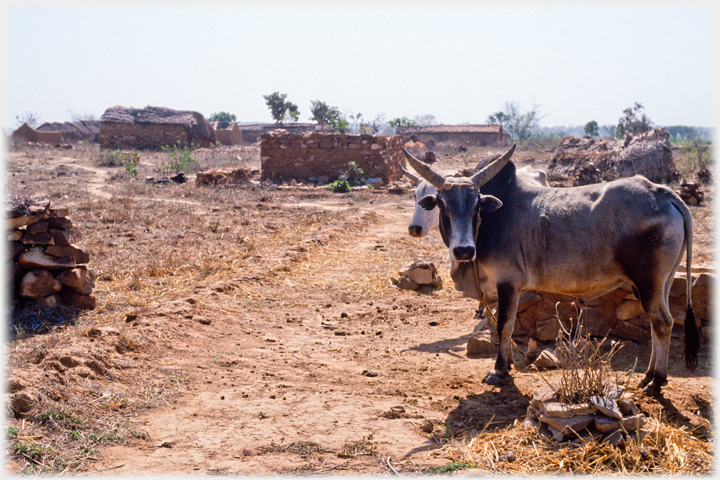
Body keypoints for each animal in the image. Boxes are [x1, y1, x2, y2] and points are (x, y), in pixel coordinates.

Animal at [402, 144, 700, 396]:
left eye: (476, 205)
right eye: (442, 204)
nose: (463, 250)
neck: (489, 222)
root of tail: (661, 192)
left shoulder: (508, 282)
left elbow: (504, 326)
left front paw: (499, 371)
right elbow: (505, 326)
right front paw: (508, 364)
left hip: (648, 282)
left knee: (662, 323)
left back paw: (657, 381)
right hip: (661, 283)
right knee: (657, 323)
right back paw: (648, 376)